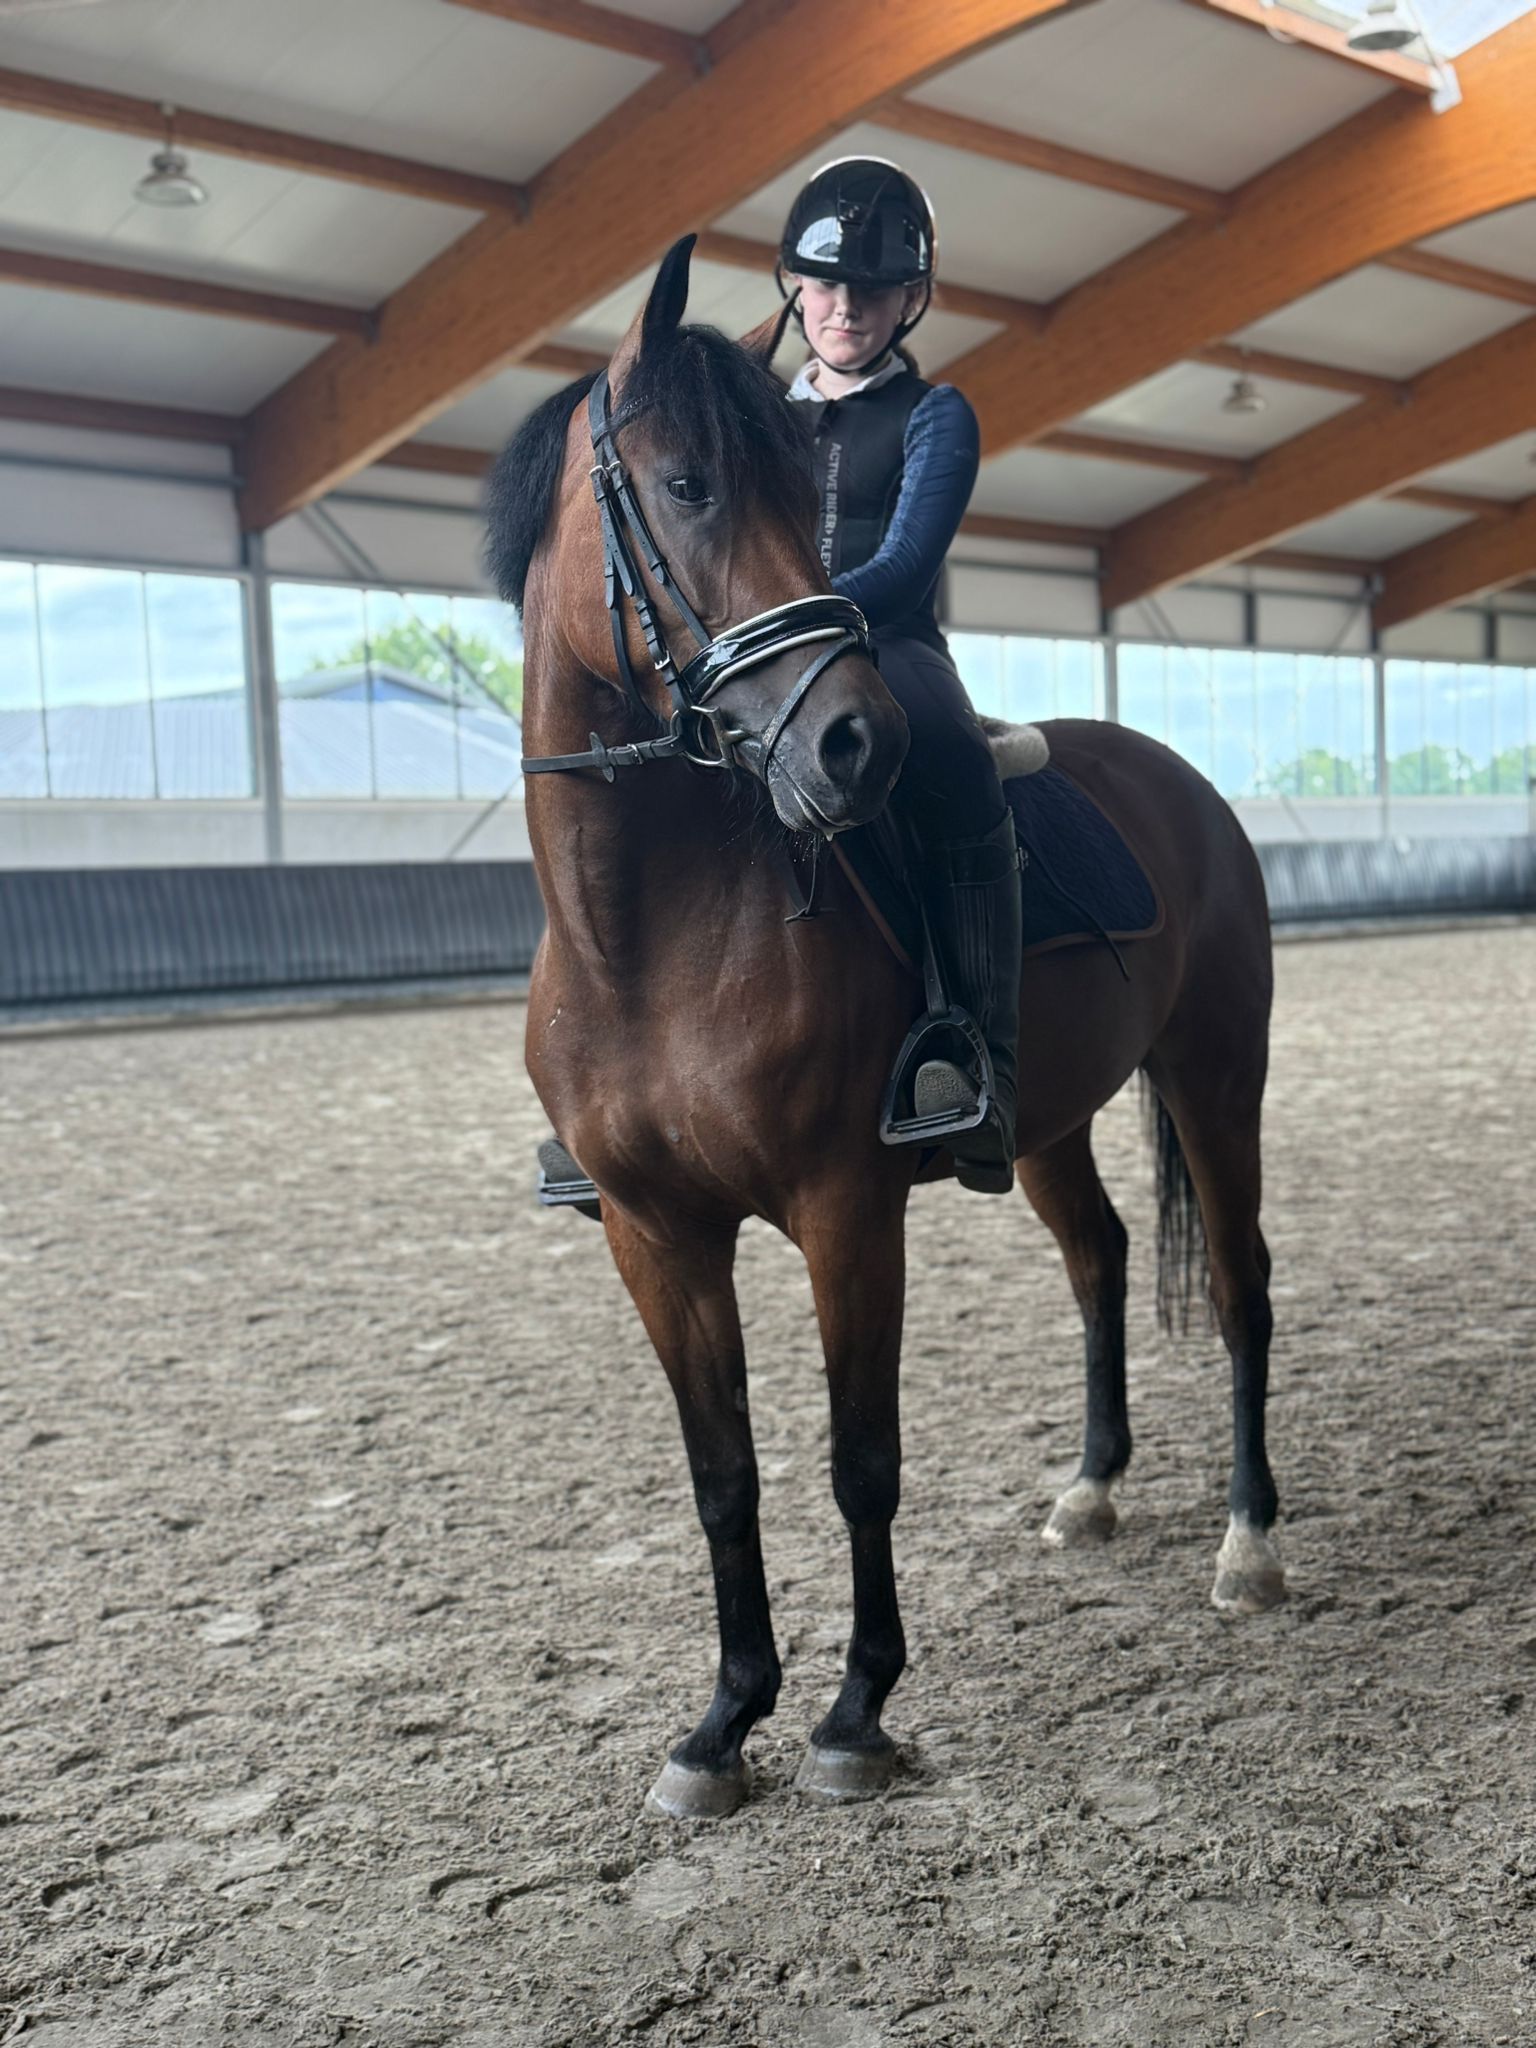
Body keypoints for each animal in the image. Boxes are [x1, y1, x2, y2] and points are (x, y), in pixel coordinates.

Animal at [487, 235, 1282, 1822]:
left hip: (1218, 1078)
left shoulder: (844, 1204)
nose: (855, 743)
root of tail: (1179, 781)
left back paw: (1250, 1546)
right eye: (688, 486)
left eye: (800, 493)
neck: (648, 939)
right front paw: (721, 1724)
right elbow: (721, 1472)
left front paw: (854, 1715)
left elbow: (862, 1457)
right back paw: (1092, 1489)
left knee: (1241, 1287)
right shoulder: (654, 1233)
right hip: (1044, 1121)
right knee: (1100, 1258)